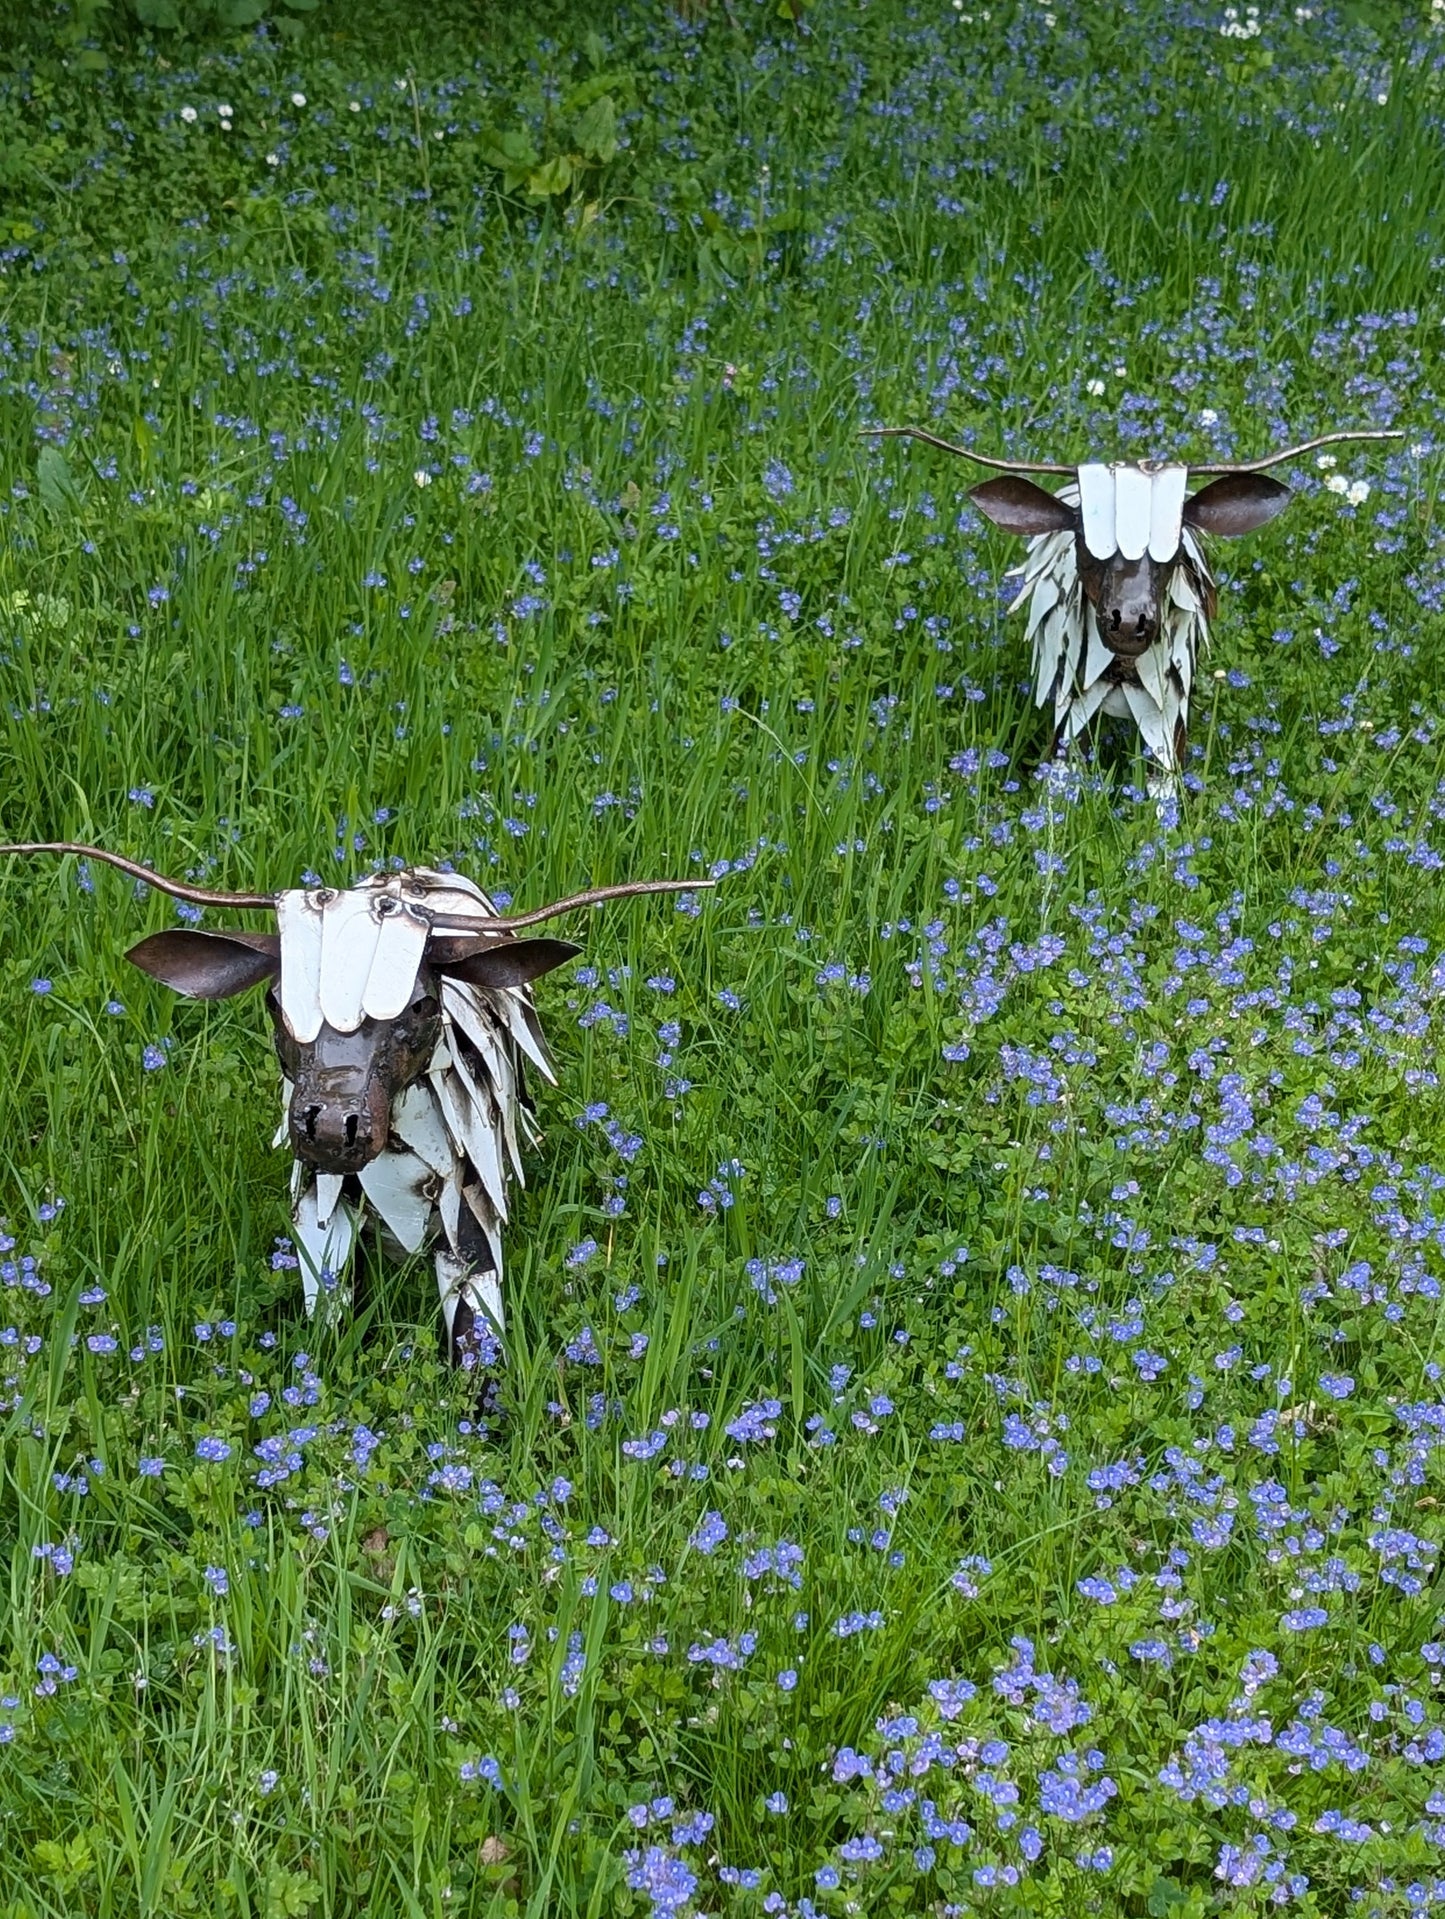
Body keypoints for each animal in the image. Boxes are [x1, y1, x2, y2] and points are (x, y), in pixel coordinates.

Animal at [0, 844, 709, 1368]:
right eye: (274, 1001)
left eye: (420, 1005)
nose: (331, 1128)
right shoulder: (323, 1208)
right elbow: (324, 1327)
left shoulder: (470, 1218)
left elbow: (478, 1348)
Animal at [864, 426, 1402, 797]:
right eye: (1086, 539)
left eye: (1175, 548)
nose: (1129, 620)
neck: (1121, 669)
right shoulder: (1068, 707)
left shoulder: (1169, 713)